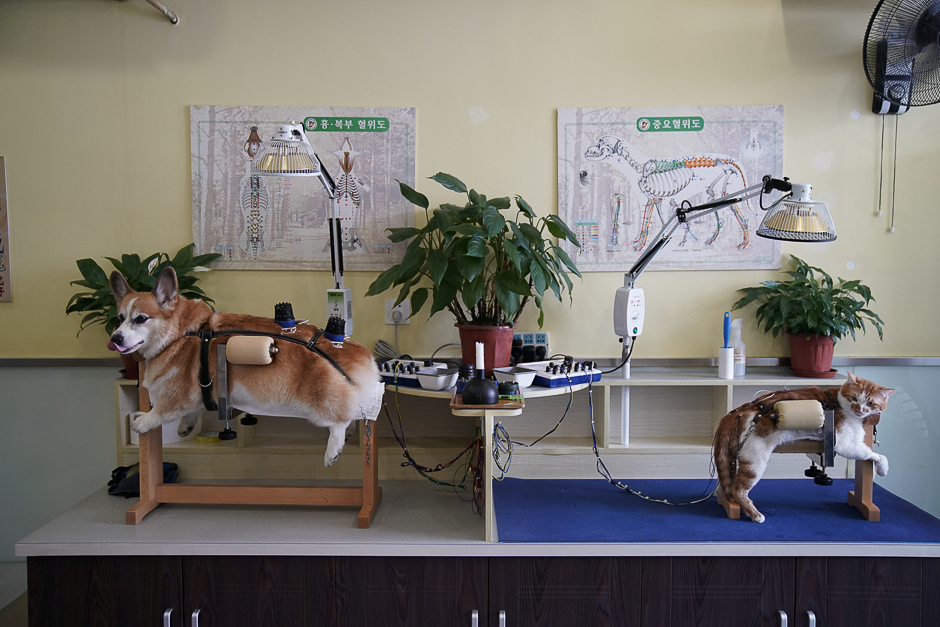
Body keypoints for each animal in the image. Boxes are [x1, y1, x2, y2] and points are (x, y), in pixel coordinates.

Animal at [111, 266, 386, 466]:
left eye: (141, 319)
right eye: (120, 318)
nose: (115, 339)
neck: (182, 333)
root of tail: (356, 353)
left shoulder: (175, 393)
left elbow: (161, 411)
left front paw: (142, 421)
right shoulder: (198, 393)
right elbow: (191, 411)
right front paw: (184, 427)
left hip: (319, 402)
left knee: (339, 420)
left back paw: (332, 451)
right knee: (352, 411)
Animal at [716, 376, 892, 524]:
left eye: (870, 403)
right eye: (854, 398)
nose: (859, 410)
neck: (838, 403)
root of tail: (734, 415)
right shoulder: (845, 443)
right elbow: (874, 454)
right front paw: (882, 469)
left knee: (729, 487)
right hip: (755, 459)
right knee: (738, 490)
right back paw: (755, 515)